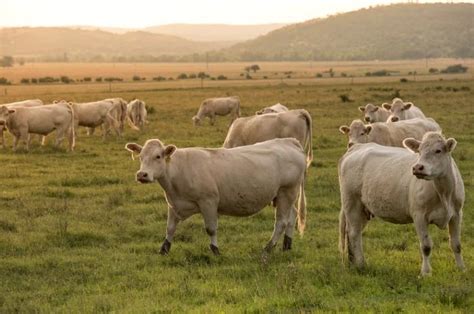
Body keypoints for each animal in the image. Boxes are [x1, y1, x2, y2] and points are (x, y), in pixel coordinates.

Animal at [124, 137, 308, 255]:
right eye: (141, 157)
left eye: (158, 156)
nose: (142, 175)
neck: (178, 170)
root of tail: (289, 142)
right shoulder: (174, 204)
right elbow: (170, 228)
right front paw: (164, 248)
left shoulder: (208, 202)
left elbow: (211, 229)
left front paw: (215, 250)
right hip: (285, 196)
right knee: (291, 217)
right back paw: (287, 245)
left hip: (286, 192)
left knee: (281, 222)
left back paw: (268, 248)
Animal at [338, 132, 464, 274]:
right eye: (419, 151)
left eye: (438, 150)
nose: (417, 167)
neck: (444, 193)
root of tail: (356, 147)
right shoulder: (419, 216)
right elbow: (426, 246)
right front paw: (425, 272)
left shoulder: (457, 214)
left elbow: (456, 244)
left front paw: (461, 268)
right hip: (351, 202)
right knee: (353, 233)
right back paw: (360, 264)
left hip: (363, 209)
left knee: (354, 232)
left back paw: (354, 263)